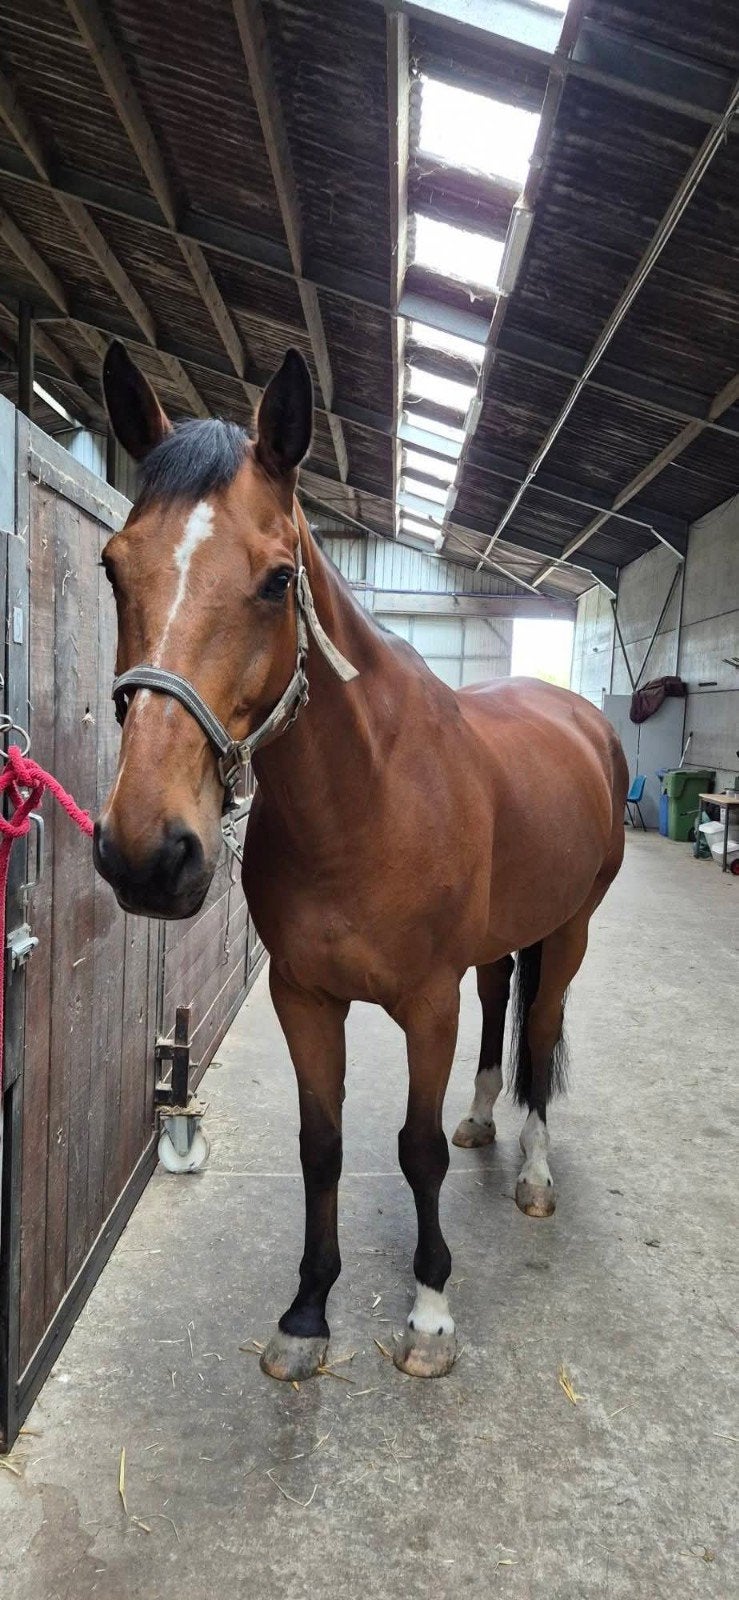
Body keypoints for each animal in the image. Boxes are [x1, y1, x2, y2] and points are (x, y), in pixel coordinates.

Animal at [94, 340, 628, 1381]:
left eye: (275, 580)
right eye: (111, 568)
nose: (147, 854)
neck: (367, 802)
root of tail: (577, 716)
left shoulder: (425, 1004)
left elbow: (413, 1150)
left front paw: (429, 1317)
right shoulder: (303, 997)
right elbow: (322, 1146)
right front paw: (306, 1314)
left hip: (573, 931)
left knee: (540, 1033)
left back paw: (534, 1172)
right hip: (502, 944)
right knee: (500, 1006)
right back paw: (483, 1119)